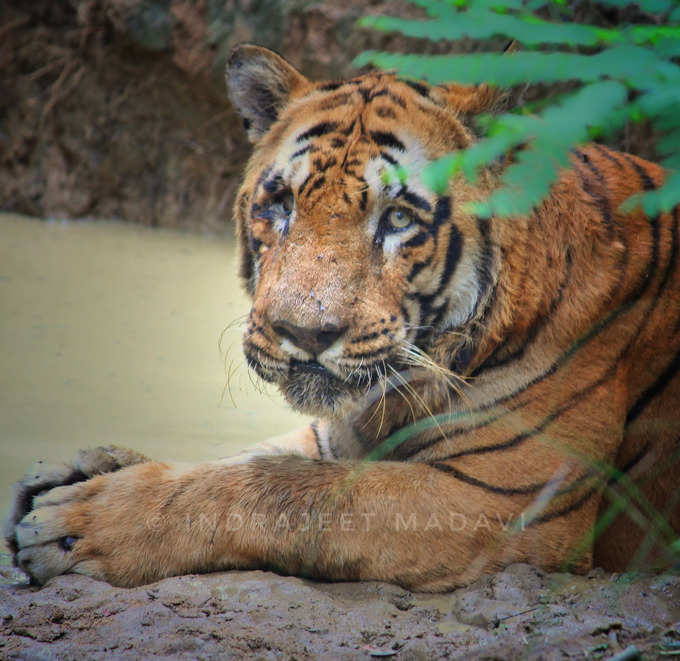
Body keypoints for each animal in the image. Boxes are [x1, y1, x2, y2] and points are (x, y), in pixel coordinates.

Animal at [5, 43, 680, 588]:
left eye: (399, 218)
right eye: (280, 204)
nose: (304, 333)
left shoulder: (497, 500)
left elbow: (284, 492)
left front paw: (81, 519)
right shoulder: (339, 432)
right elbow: (254, 457)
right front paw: (80, 471)